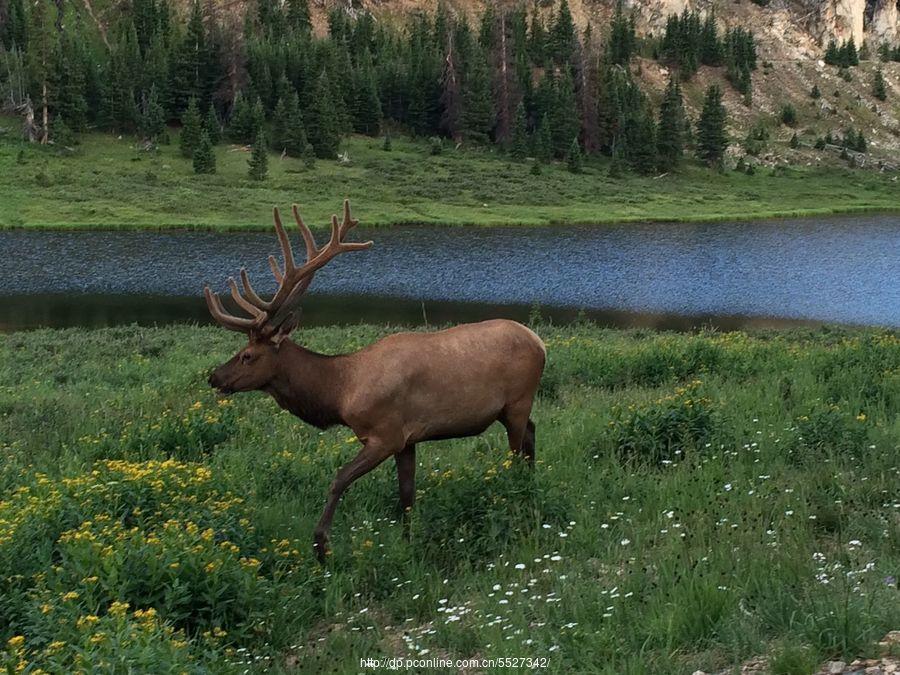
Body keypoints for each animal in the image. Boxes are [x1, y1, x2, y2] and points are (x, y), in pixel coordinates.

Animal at [207, 203, 544, 564]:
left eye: (247, 355)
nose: (214, 376)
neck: (341, 392)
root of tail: (540, 342)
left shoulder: (385, 434)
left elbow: (339, 479)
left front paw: (321, 545)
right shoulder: (408, 439)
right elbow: (407, 494)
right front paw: (408, 544)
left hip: (518, 402)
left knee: (517, 453)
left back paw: (518, 502)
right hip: (510, 410)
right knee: (531, 435)